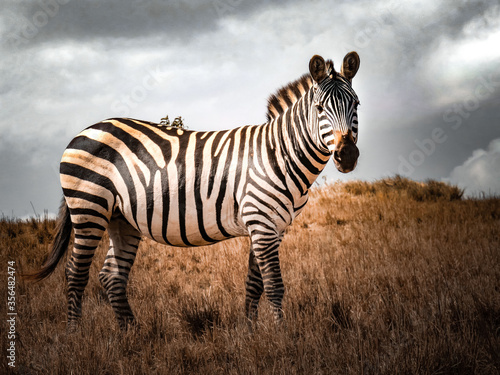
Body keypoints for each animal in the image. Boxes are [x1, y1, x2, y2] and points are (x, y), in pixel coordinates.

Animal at [25, 52, 362, 328]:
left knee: (111, 276)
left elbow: (255, 284)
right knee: (76, 273)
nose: (347, 156)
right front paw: (282, 337)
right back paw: (75, 334)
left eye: (356, 104)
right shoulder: (262, 222)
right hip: (89, 207)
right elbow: (274, 285)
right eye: (320, 108)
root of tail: (83, 132)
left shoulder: (272, 227)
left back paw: (131, 335)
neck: (277, 153)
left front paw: (252, 332)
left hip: (121, 218)